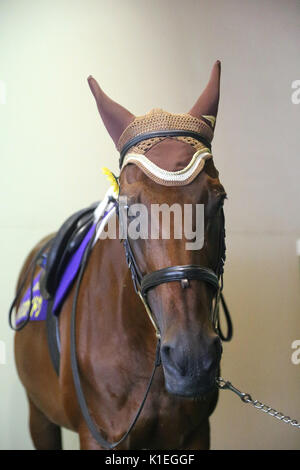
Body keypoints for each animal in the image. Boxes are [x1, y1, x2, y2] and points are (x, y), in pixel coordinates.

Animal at [11, 60, 227, 450]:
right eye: (129, 207)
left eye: (218, 200)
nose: (191, 357)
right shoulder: (99, 437)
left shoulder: (195, 433)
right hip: (40, 416)